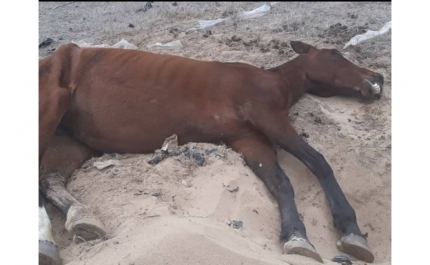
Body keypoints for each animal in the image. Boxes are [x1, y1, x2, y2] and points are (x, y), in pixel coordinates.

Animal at [39, 40, 382, 262]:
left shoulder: (250, 139)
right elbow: (318, 162)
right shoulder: (268, 117)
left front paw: (296, 235)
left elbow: (280, 182)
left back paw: (81, 219)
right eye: (334, 53)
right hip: (49, 111)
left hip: (72, 141)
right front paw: (350, 229)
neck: (274, 80)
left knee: (48, 180)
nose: (378, 77)